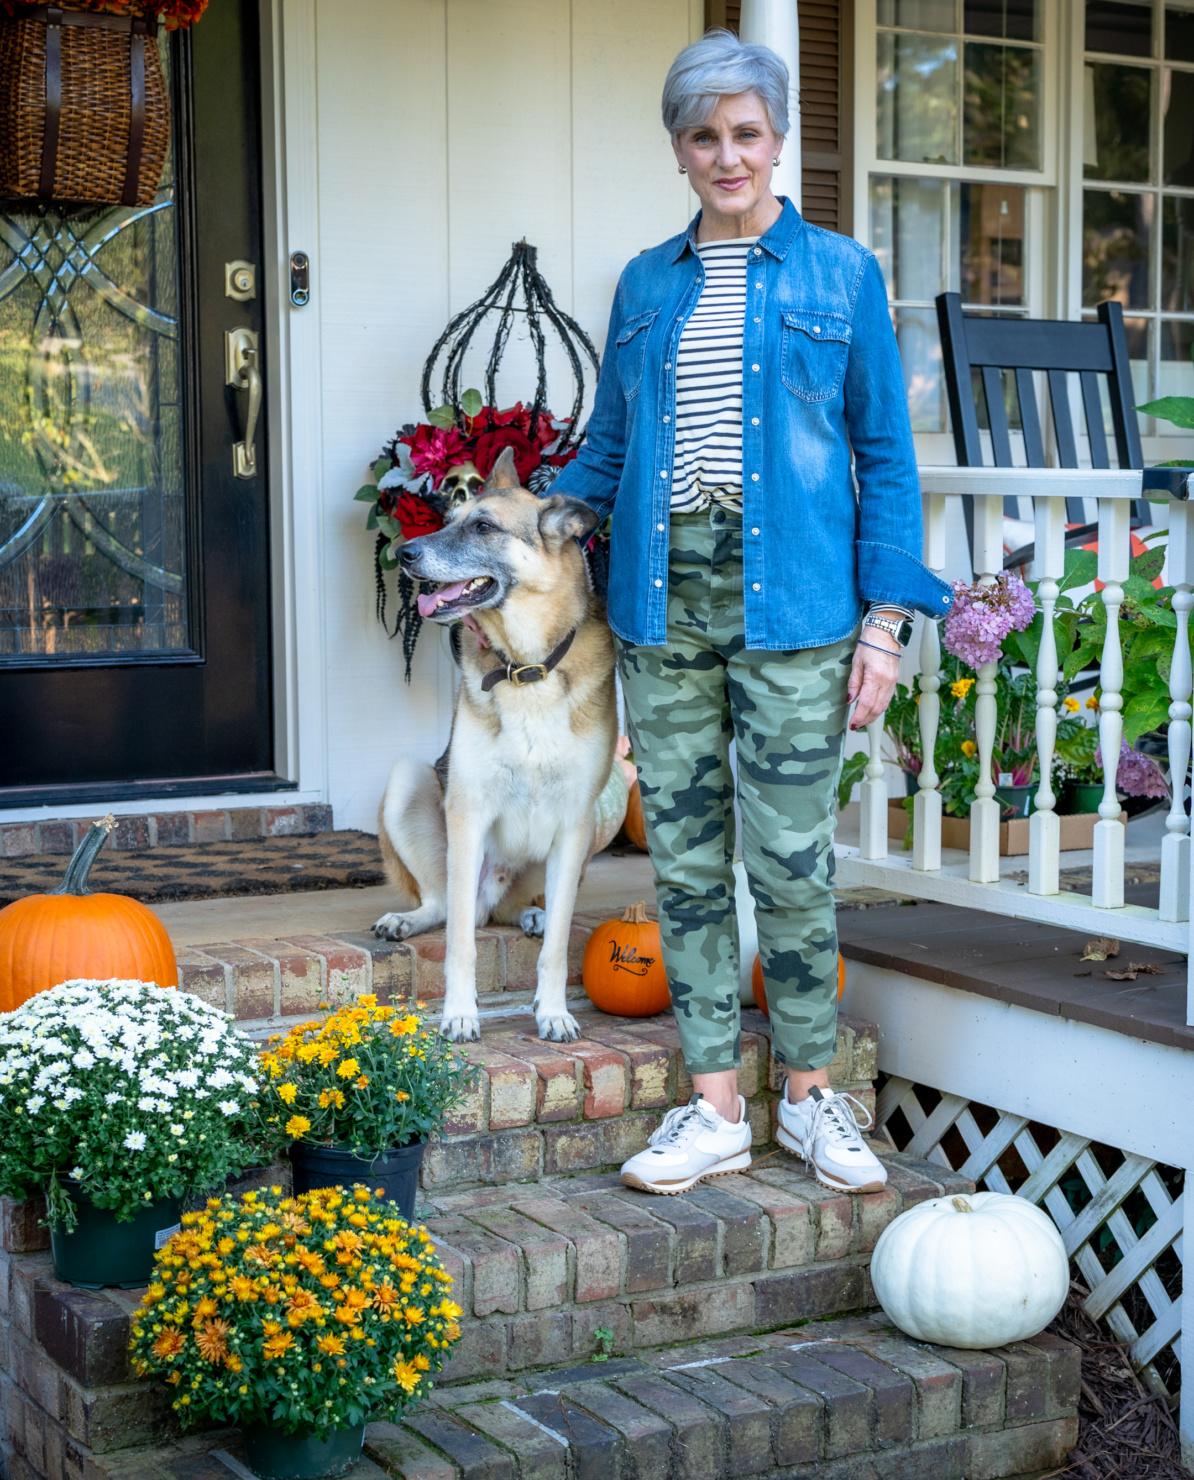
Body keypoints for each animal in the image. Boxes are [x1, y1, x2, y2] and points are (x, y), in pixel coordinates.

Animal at [373, 447, 617, 1044]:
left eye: (483, 527)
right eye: (447, 517)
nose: (404, 554)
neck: (528, 667)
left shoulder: (575, 821)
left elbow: (557, 948)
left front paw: (553, 1011)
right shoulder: (468, 813)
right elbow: (459, 943)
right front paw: (460, 1013)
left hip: (594, 821)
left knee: (527, 910)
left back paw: (534, 913)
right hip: (409, 783)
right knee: (448, 906)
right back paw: (409, 919)